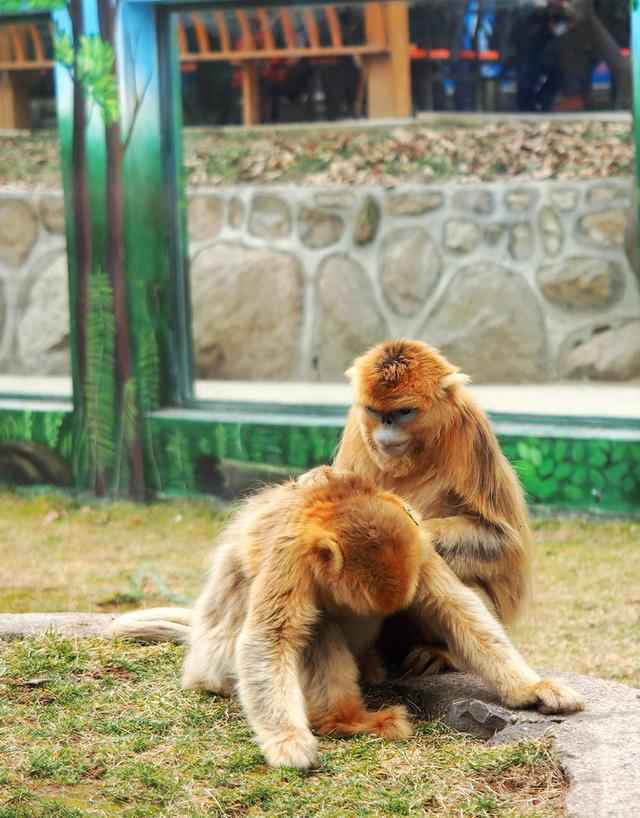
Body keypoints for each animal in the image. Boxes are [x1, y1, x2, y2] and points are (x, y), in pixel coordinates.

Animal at [107, 466, 584, 764]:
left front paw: (533, 688)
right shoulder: (291, 553)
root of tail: (199, 661)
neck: (332, 504)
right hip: (222, 668)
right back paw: (347, 721)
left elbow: (455, 607)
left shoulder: (416, 539)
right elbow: (270, 640)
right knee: (315, 626)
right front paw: (288, 741)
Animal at [336, 340, 536, 676]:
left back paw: (442, 654)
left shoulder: (470, 428)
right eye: (376, 412)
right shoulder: (357, 426)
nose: (386, 428)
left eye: (403, 412)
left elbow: (502, 542)